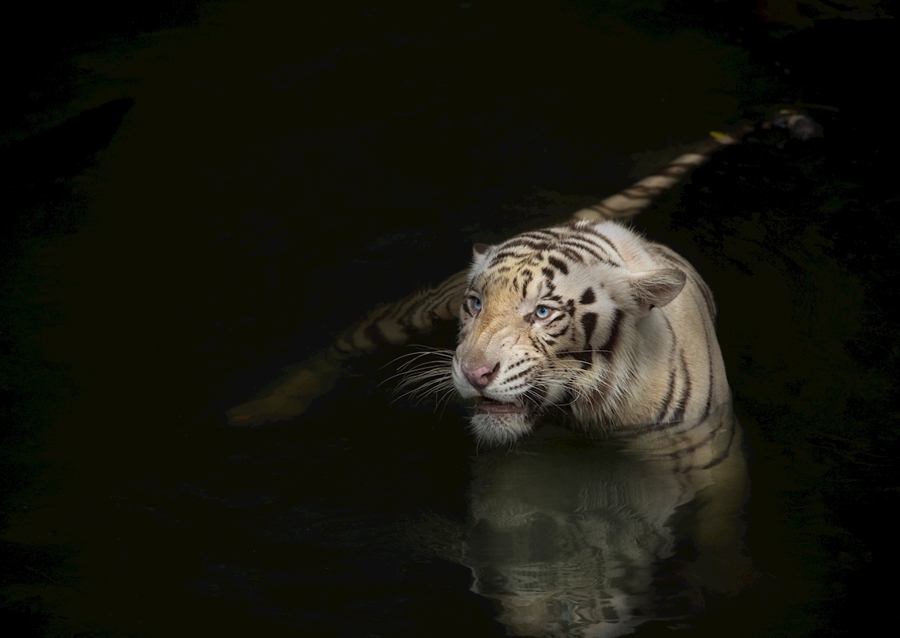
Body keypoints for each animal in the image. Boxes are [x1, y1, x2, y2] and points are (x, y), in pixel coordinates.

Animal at [226, 109, 821, 443]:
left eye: (542, 313)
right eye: (475, 305)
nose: (474, 373)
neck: (579, 411)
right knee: (353, 338)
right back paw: (256, 411)